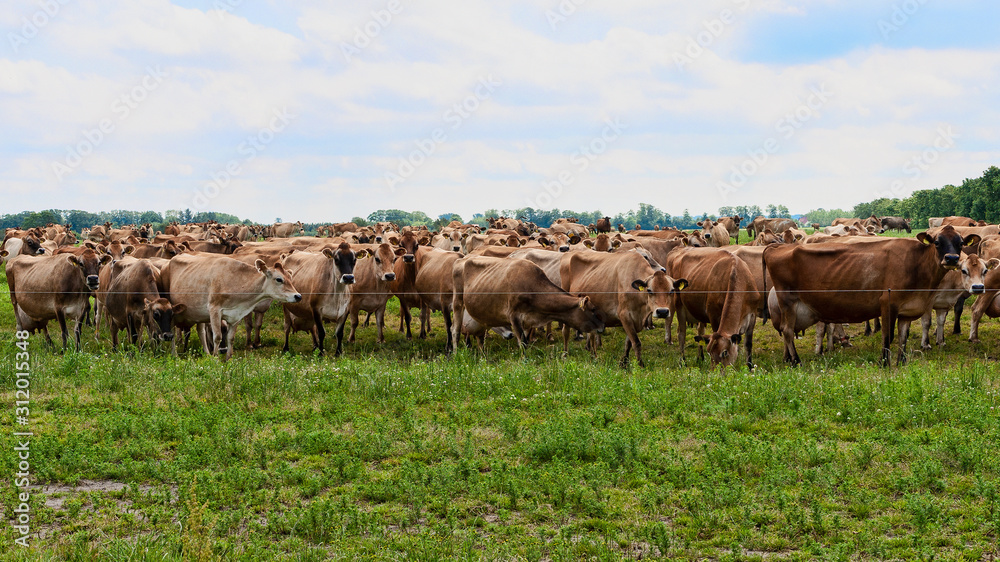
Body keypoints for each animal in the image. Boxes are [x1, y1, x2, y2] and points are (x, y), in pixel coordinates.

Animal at [160, 253, 302, 359]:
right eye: (279, 279)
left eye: (290, 278)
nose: (298, 296)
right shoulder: (214, 310)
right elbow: (217, 337)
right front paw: (215, 358)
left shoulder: (237, 315)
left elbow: (230, 338)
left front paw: (228, 359)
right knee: (172, 331)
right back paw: (174, 354)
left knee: (200, 331)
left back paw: (206, 353)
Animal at [451, 256, 604, 350]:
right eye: (593, 309)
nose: (602, 327)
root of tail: (461, 259)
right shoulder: (514, 315)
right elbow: (523, 343)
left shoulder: (527, 320)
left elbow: (524, 340)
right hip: (458, 302)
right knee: (455, 331)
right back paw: (455, 353)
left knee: (480, 336)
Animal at [764, 226, 979, 366]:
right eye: (937, 242)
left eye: (960, 243)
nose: (951, 258)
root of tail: (777, 247)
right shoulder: (887, 303)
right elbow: (887, 336)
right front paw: (884, 362)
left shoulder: (908, 309)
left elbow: (903, 336)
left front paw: (902, 361)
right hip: (788, 301)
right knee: (787, 331)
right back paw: (796, 361)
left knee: (786, 331)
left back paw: (789, 359)